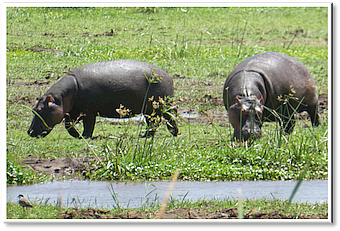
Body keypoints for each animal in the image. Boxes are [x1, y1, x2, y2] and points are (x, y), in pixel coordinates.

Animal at [27, 60, 179, 139]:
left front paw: (85, 136)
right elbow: (68, 125)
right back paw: (148, 135)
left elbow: (89, 125)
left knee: (166, 117)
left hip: (158, 106)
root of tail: (168, 76)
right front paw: (77, 136)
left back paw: (169, 133)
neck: (62, 97)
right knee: (155, 122)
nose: (29, 132)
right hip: (150, 109)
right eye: (33, 109)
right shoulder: (72, 111)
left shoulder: (88, 112)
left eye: (40, 109)